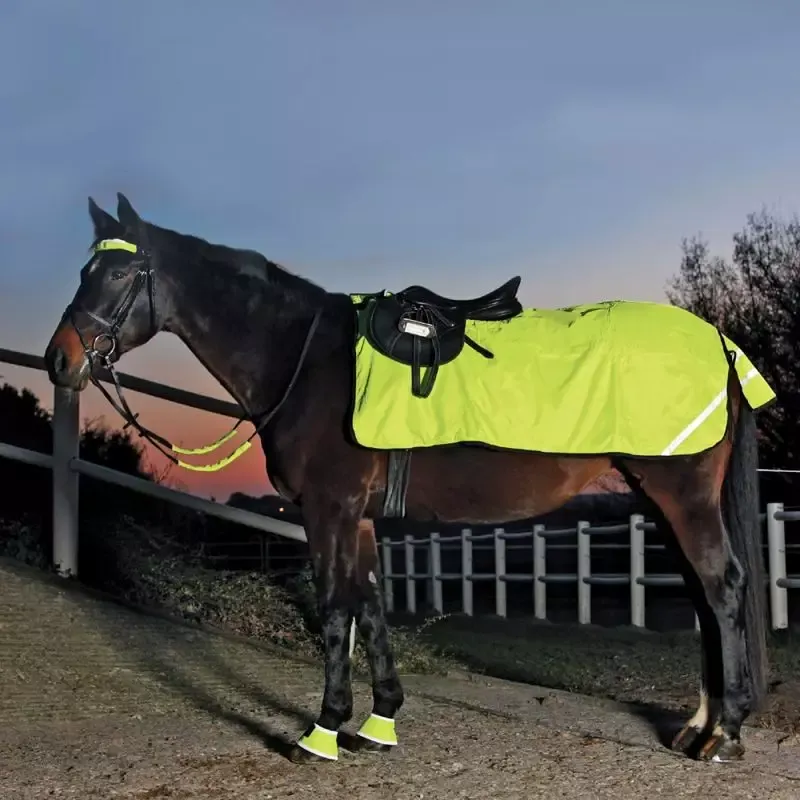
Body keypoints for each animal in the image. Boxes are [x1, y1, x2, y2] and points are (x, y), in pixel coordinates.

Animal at [44, 193, 770, 765]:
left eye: (117, 271)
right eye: (83, 270)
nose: (60, 360)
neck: (307, 359)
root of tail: (721, 344)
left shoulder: (328, 508)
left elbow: (335, 605)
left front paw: (321, 732)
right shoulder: (359, 516)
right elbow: (370, 602)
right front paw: (378, 721)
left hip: (682, 496)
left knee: (722, 588)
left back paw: (724, 735)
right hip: (661, 499)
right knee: (703, 596)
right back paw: (698, 725)